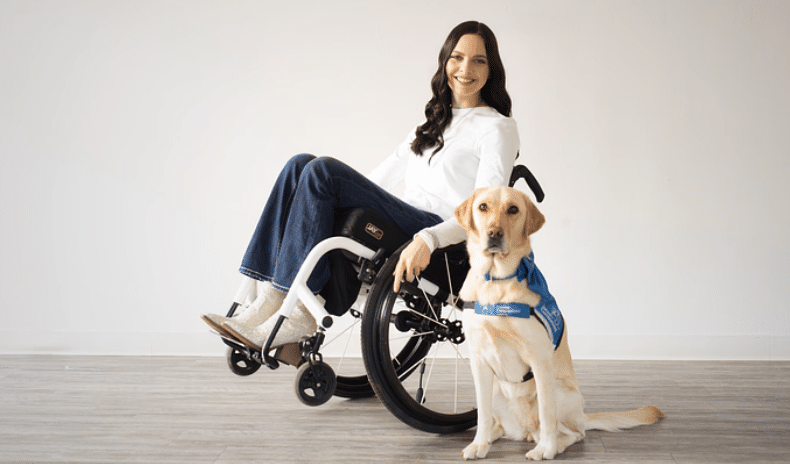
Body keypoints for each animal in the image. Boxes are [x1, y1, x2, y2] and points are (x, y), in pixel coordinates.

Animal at [454, 186, 664, 460]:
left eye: (513, 209)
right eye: (482, 207)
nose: (494, 233)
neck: (496, 281)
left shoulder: (540, 359)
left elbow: (547, 414)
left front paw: (546, 449)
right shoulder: (479, 359)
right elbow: (482, 413)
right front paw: (479, 444)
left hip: (562, 392)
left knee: (572, 432)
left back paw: (551, 443)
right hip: (497, 390)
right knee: (499, 422)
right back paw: (495, 436)